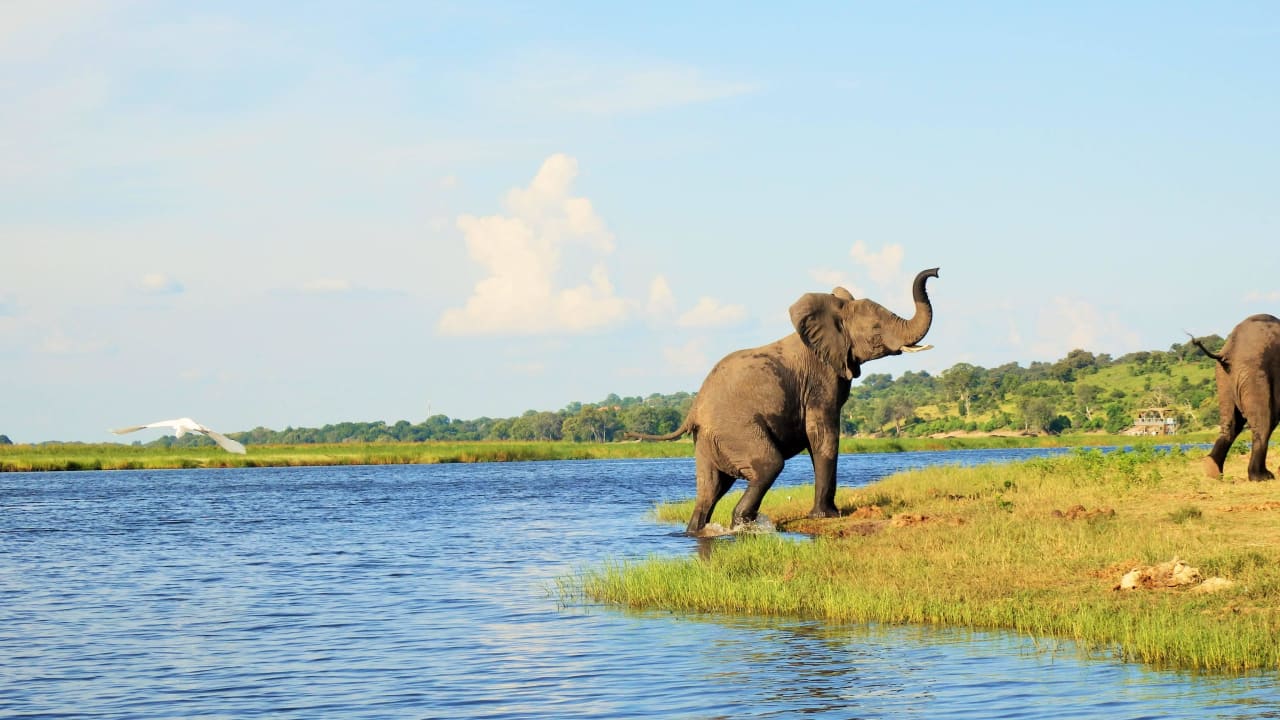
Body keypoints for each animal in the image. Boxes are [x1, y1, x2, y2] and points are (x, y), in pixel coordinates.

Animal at [631, 268, 939, 535]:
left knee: (710, 489)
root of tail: (693, 412)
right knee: (768, 465)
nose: (936, 271)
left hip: (709, 441)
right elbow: (824, 436)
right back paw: (744, 525)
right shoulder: (821, 381)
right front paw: (828, 516)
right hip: (736, 431)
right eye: (876, 329)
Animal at [1191, 314, 1280, 482]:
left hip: (1224, 377)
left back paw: (1212, 470)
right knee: (1264, 422)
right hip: (1254, 372)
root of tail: (1229, 350)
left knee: (1231, 423)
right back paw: (1262, 477)